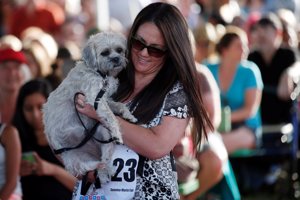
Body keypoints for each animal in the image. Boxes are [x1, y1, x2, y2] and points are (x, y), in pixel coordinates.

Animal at [42, 31, 136, 184]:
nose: (116, 58)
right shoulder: (95, 98)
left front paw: (128, 115)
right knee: (90, 166)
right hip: (75, 161)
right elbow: (111, 116)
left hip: (103, 133)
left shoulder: (104, 99)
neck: (99, 73)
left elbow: (119, 105)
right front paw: (117, 133)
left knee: (104, 159)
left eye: (119, 50)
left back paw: (106, 171)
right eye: (105, 52)